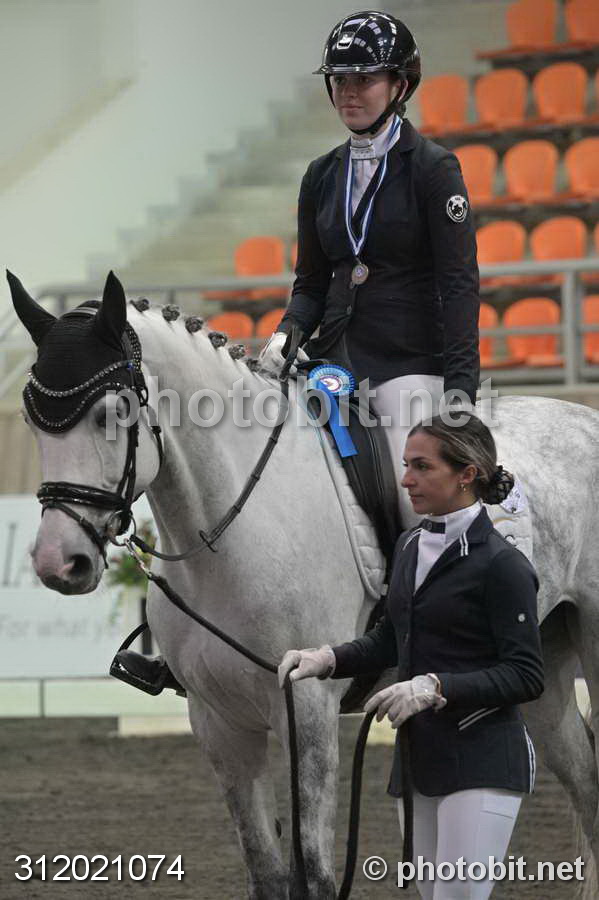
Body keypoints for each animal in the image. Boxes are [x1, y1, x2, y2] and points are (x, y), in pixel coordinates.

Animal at [9, 270, 599, 898]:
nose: (59, 561)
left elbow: (311, 875)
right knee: (585, 782)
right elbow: (266, 874)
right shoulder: (218, 723)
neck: (232, 528)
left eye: (112, 413)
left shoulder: (307, 711)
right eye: (30, 420)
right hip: (536, 667)